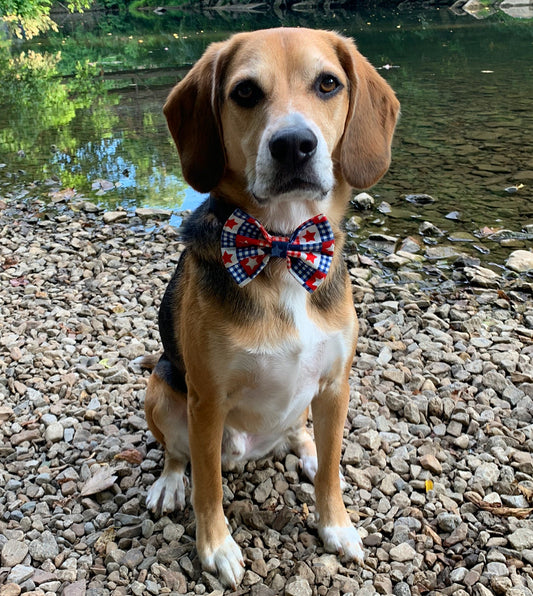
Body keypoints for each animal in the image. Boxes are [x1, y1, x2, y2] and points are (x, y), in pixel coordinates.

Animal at [143, 26, 396, 588]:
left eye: (328, 83)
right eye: (244, 92)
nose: (294, 144)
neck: (282, 245)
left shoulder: (336, 385)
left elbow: (331, 476)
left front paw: (336, 525)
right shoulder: (206, 401)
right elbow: (208, 487)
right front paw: (215, 547)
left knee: (304, 438)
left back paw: (308, 452)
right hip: (160, 387)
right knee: (177, 454)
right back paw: (170, 483)